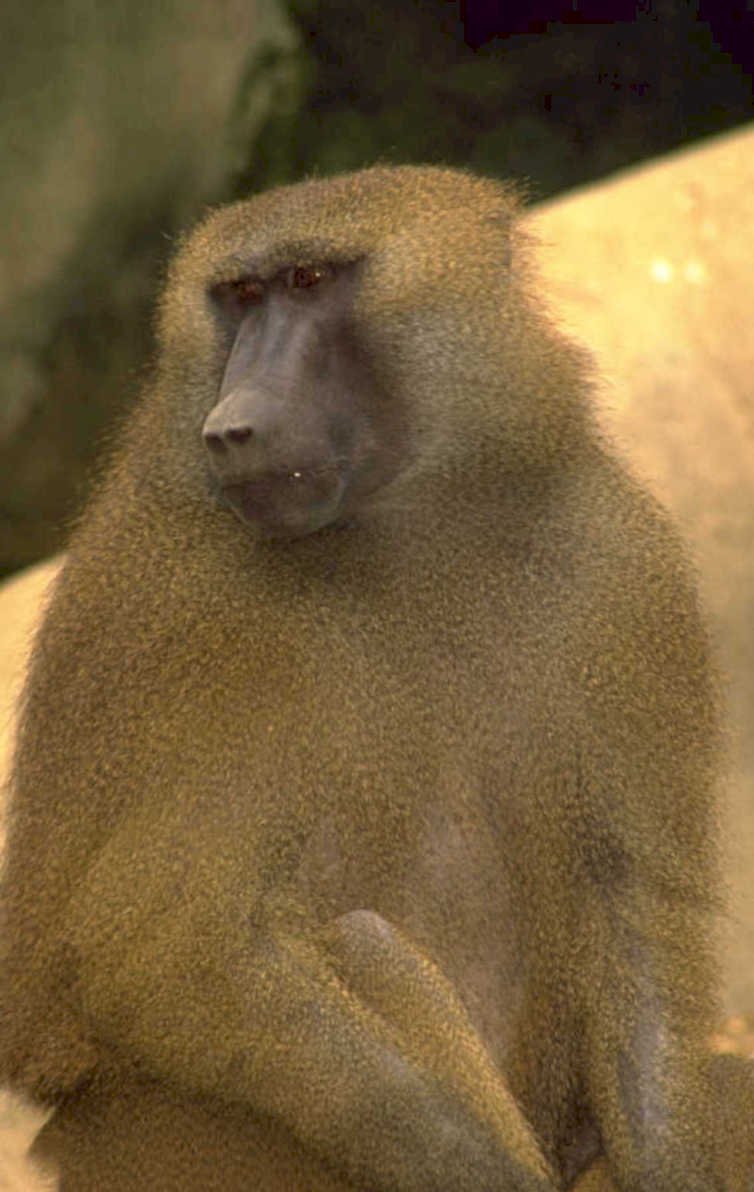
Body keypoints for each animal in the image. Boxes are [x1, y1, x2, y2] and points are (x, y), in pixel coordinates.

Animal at [1, 164, 752, 1190]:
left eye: (310, 280)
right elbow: (170, 947)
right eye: (240, 296)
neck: (410, 524)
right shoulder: (208, 624)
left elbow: (633, 915)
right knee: (350, 950)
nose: (232, 426)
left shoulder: (613, 553)